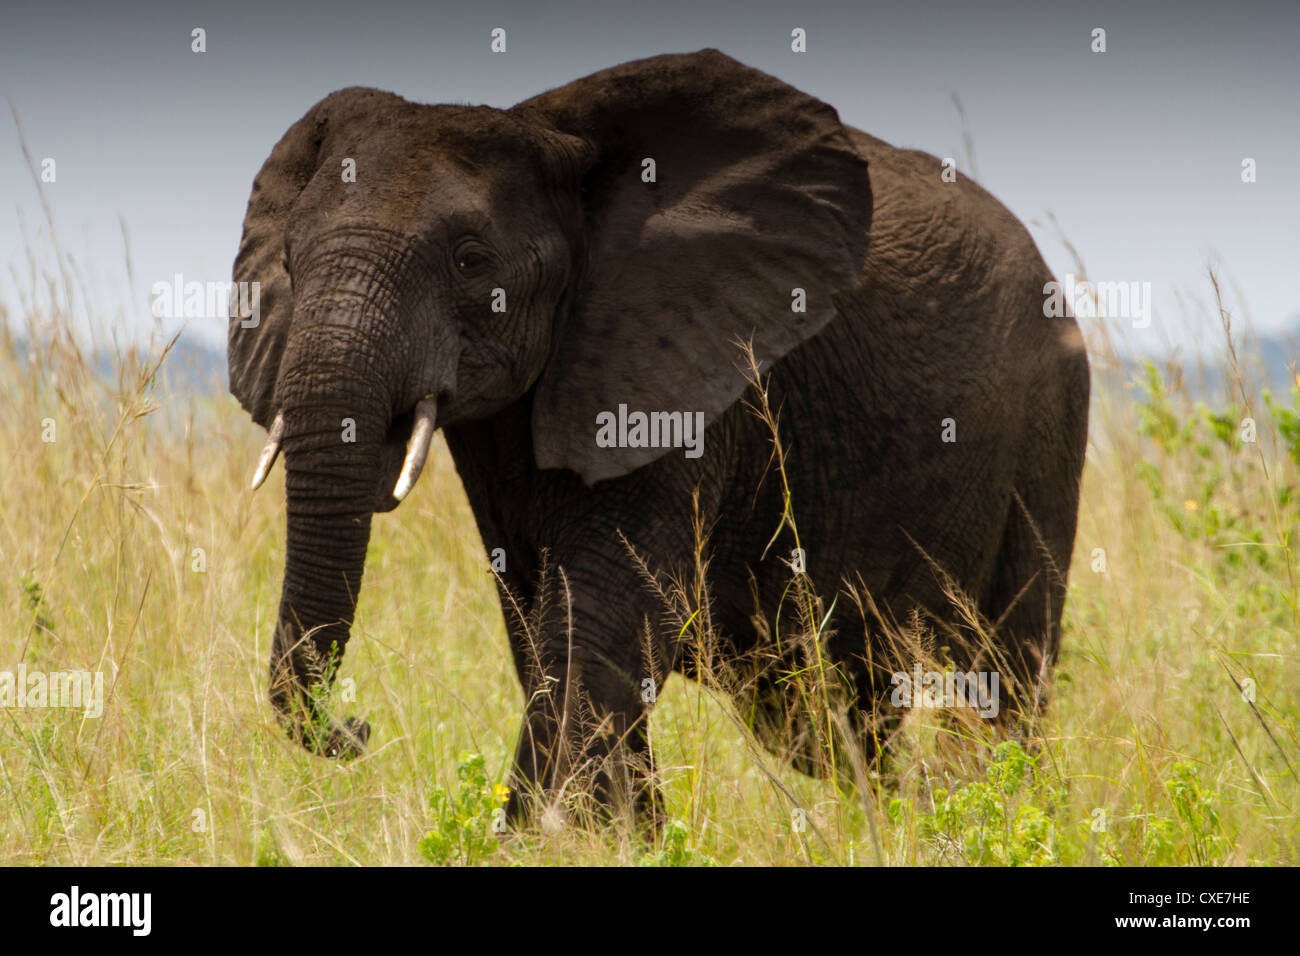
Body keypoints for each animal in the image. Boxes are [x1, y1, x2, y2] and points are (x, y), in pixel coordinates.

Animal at [231, 50, 1086, 832]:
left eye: (471, 262)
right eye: (290, 260)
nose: (356, 728)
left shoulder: (682, 375)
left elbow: (597, 621)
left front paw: (553, 837)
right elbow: (541, 628)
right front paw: (624, 834)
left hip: (1048, 420)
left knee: (1005, 672)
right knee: (832, 716)